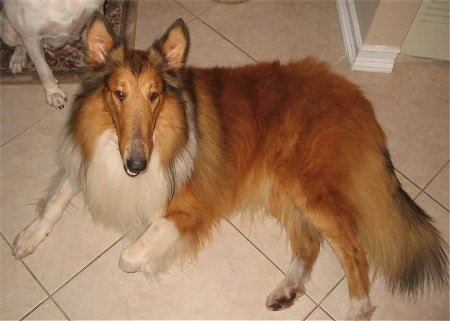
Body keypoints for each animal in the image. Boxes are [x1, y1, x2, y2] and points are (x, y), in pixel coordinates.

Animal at [13, 13, 446, 318]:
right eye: (118, 94)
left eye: (154, 95)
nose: (136, 166)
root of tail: (354, 96)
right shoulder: (88, 160)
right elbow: (56, 200)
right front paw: (27, 238)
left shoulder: (188, 204)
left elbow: (129, 254)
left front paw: (143, 257)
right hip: (281, 190)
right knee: (309, 244)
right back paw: (286, 291)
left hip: (308, 187)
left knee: (353, 250)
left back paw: (357, 309)